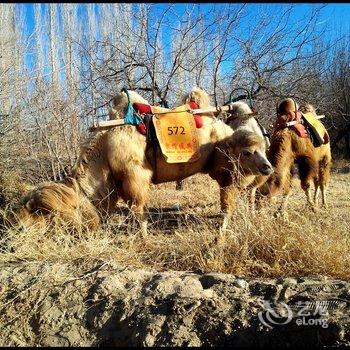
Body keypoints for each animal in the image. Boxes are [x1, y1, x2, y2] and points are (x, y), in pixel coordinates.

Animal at [14, 88, 274, 235]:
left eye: (42, 212)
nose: (19, 227)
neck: (105, 146)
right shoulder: (118, 183)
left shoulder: (135, 175)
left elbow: (138, 210)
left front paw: (143, 237)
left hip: (232, 168)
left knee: (231, 196)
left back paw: (223, 230)